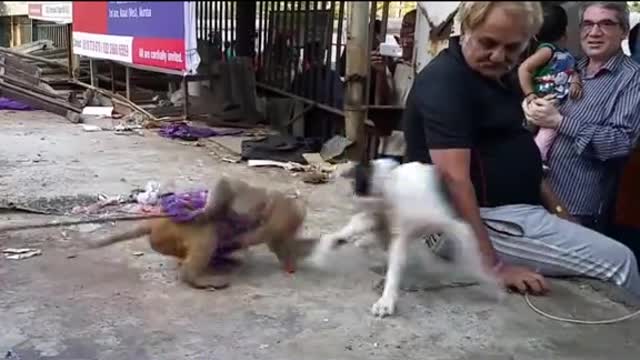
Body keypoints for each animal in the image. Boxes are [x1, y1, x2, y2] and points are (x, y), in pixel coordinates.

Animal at [310, 159, 504, 316]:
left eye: (356, 185)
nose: (353, 195)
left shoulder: (459, 227)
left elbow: (475, 260)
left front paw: (492, 283)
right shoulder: (395, 232)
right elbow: (393, 268)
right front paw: (386, 300)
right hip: (368, 223)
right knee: (333, 236)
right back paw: (330, 249)